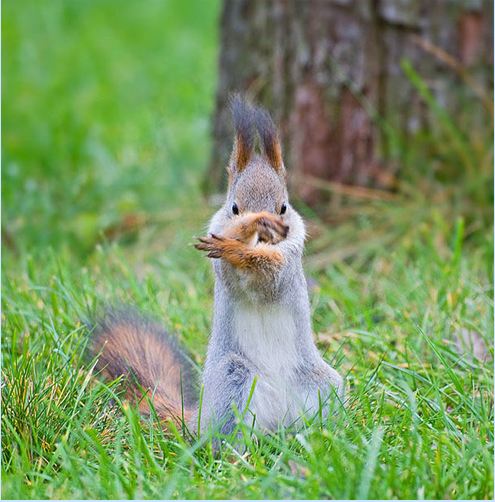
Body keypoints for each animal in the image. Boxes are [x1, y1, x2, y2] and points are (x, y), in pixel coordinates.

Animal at [91, 94, 342, 440]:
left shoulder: (290, 260)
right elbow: (234, 270)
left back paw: (317, 436)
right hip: (232, 377)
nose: (265, 233)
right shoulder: (222, 264)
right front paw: (240, 236)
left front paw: (245, 249)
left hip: (321, 386)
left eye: (283, 207)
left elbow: (271, 276)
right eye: (234, 207)